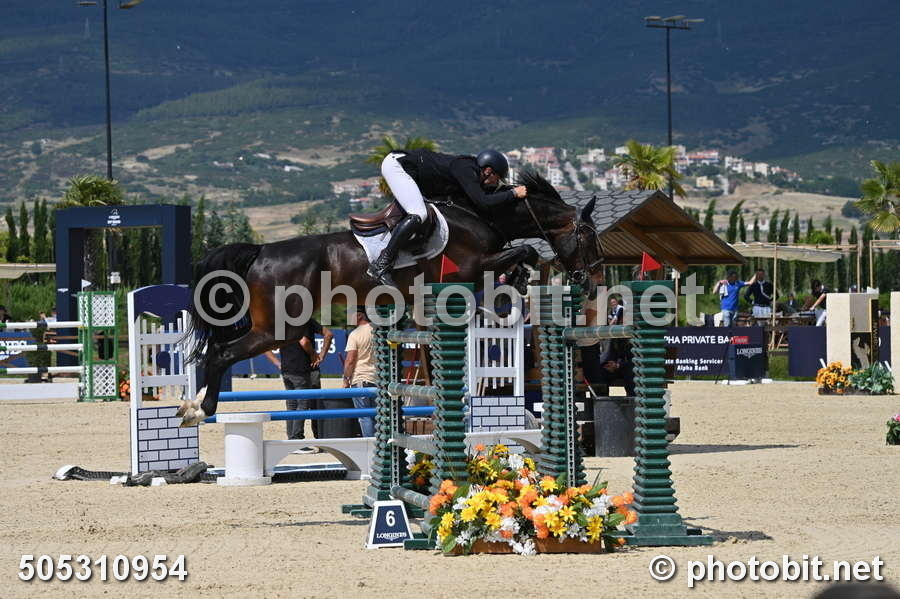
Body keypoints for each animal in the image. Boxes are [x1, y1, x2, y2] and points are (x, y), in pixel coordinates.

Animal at [177, 170, 603, 426]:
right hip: (281, 329)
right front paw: (517, 273)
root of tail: (261, 251)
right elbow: (523, 250)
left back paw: (192, 404)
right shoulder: (469, 267)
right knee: (221, 353)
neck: (483, 214)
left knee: (218, 349)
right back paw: (199, 408)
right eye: (587, 236)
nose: (593, 280)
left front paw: (517, 278)